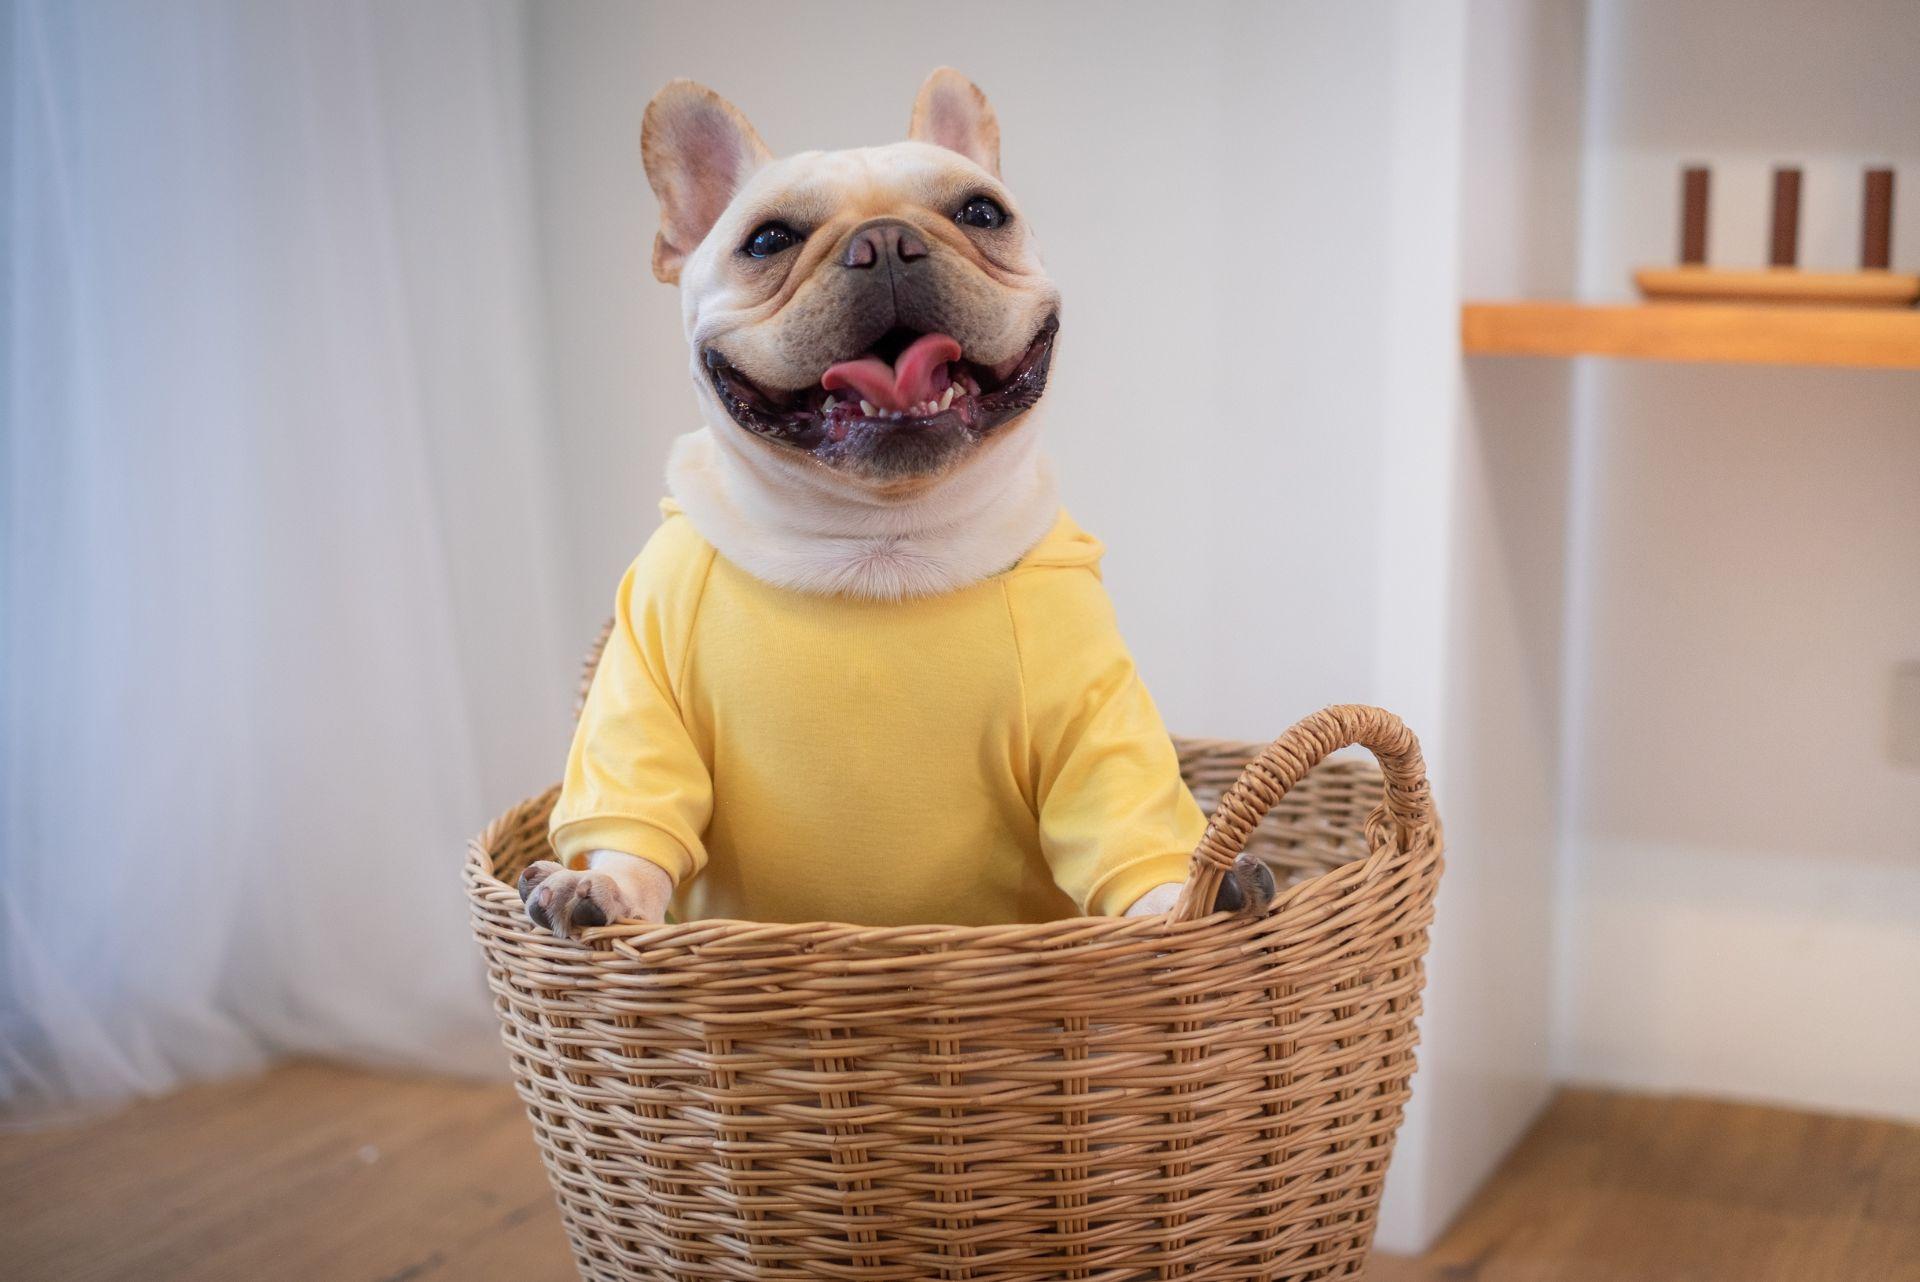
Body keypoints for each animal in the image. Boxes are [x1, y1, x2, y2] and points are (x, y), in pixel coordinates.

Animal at [526, 70, 1274, 936]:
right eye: (768, 241)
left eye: (981, 212)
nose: (884, 242)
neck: (879, 538)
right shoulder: (643, 681)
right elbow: (635, 825)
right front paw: (604, 889)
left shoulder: (1096, 712)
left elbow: (1126, 823)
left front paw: (1182, 897)